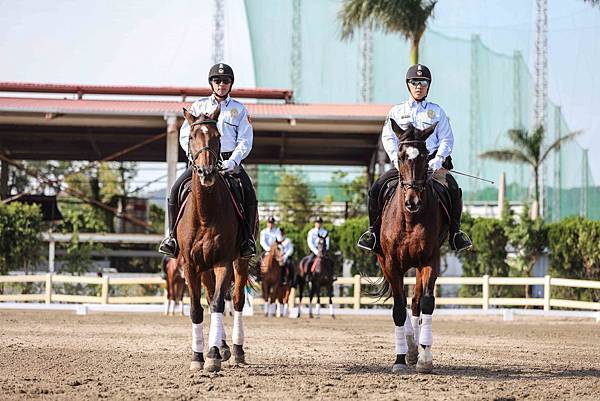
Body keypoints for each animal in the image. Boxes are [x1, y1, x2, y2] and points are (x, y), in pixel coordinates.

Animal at [178, 106, 253, 372]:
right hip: (204, 267)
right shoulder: (190, 266)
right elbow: (196, 309)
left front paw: (211, 355)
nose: (207, 172)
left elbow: (220, 303)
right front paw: (198, 356)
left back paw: (236, 350)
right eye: (191, 137)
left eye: (217, 136)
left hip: (240, 261)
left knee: (237, 301)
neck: (204, 214)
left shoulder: (223, 262)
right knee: (210, 297)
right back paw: (223, 346)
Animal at [378, 120, 448, 374]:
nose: (412, 201)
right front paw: (399, 360)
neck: (409, 218)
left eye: (427, 156)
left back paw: (414, 349)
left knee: (416, 302)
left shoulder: (429, 260)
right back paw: (407, 348)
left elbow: (425, 303)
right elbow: (399, 308)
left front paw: (425, 358)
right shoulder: (391, 264)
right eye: (400, 156)